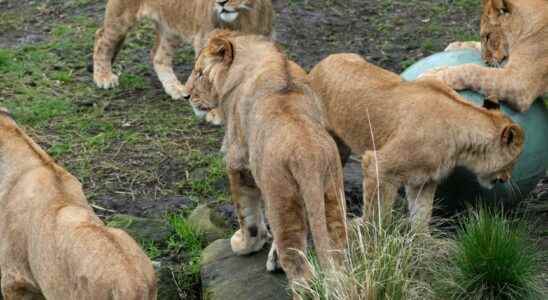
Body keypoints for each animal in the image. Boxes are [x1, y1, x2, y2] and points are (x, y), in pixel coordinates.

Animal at [95, 0, 274, 99]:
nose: (221, 2)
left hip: (170, 28)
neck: (244, 16)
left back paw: (174, 88)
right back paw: (103, 77)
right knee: (101, 38)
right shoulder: (203, 42)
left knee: (158, 57)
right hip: (121, 17)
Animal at [308, 54, 528, 231]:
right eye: (514, 161)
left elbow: (422, 214)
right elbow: (377, 213)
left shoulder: (423, 180)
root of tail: (319, 64)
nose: (507, 178)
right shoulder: (378, 166)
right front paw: (371, 238)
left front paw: (423, 244)